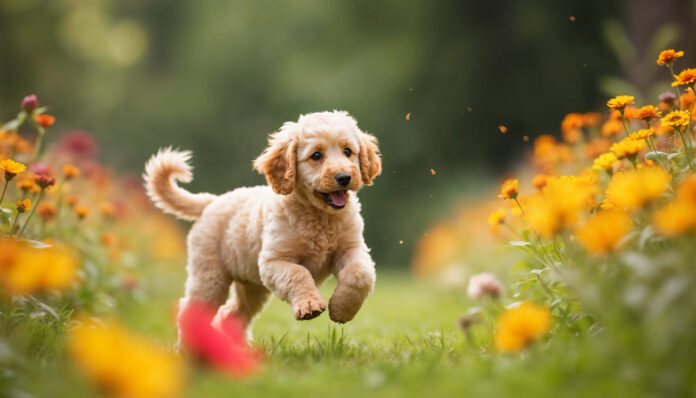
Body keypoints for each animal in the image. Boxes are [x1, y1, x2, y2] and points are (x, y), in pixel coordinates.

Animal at [143, 109, 380, 338]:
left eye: (348, 151)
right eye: (316, 155)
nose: (344, 177)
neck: (320, 217)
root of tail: (212, 200)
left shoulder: (351, 248)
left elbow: (359, 274)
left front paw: (342, 309)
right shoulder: (274, 261)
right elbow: (299, 274)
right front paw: (309, 305)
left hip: (252, 286)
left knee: (232, 315)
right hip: (210, 277)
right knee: (190, 314)